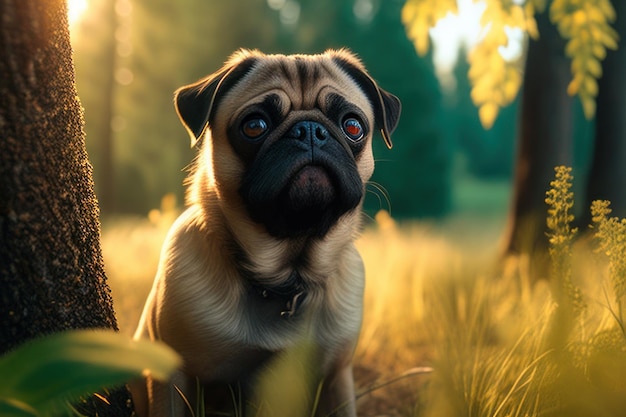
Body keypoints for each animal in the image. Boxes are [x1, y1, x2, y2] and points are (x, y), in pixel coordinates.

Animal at [132, 49, 400, 416]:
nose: (310, 130)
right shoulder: (171, 377)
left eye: (353, 126)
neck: (286, 281)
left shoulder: (337, 378)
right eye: (255, 126)